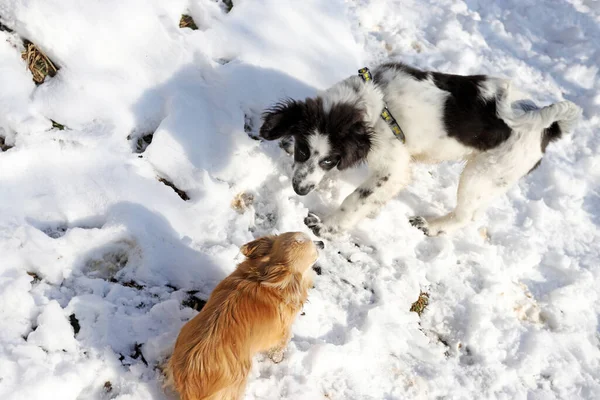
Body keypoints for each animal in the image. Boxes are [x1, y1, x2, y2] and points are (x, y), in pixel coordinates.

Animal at [164, 231, 318, 400]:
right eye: (315, 251)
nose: (322, 243)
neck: (264, 273)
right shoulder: (283, 330)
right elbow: (281, 345)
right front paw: (278, 357)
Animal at [258, 62, 580, 238]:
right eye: (303, 151)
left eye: (329, 160)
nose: (300, 190)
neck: (375, 101)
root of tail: (548, 128)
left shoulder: (393, 168)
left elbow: (356, 198)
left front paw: (327, 226)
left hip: (482, 174)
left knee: (465, 216)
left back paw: (430, 226)